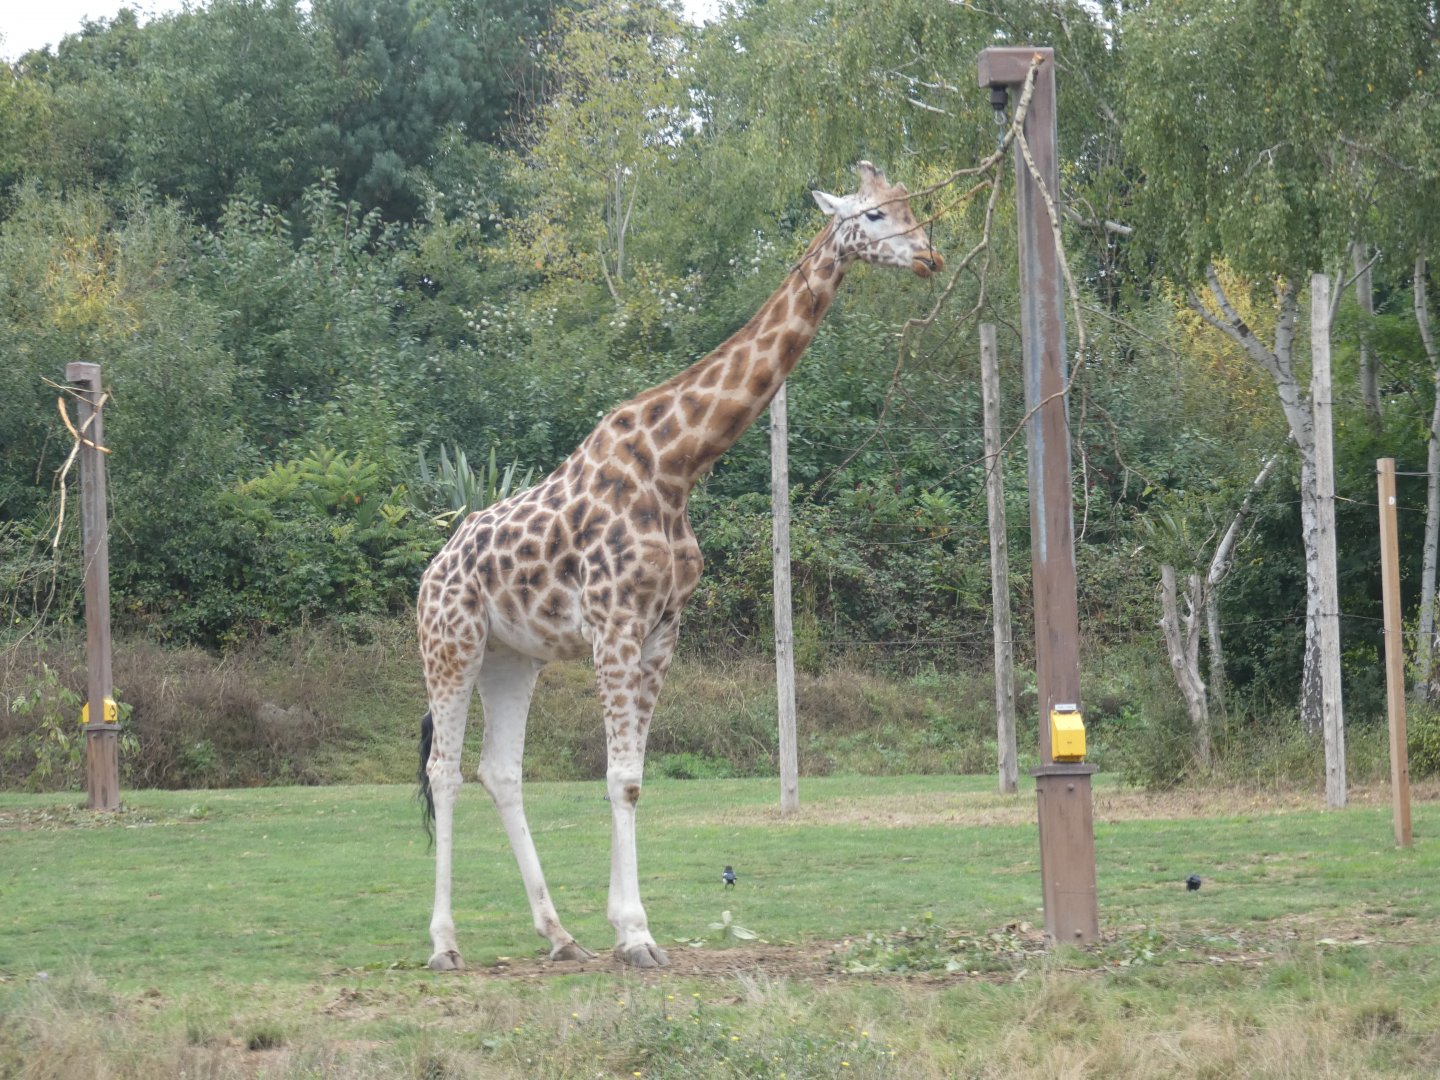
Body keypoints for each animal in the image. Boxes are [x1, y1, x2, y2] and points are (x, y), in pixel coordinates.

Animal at [416, 161, 944, 970]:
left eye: (913, 206)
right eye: (876, 214)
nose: (929, 257)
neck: (678, 466)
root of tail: (430, 571)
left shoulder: (664, 628)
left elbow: (634, 779)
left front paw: (623, 928)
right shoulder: (615, 625)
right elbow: (619, 778)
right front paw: (636, 935)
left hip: (514, 656)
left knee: (498, 770)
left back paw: (559, 935)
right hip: (451, 644)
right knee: (443, 771)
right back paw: (444, 944)